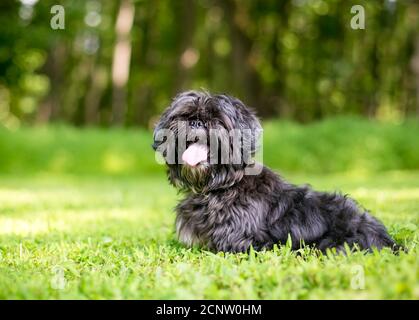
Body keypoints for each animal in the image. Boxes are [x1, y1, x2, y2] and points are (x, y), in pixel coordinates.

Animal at [153, 91, 402, 254]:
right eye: (185, 115)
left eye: (216, 119)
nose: (196, 122)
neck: (218, 186)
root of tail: (387, 242)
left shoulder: (238, 245)